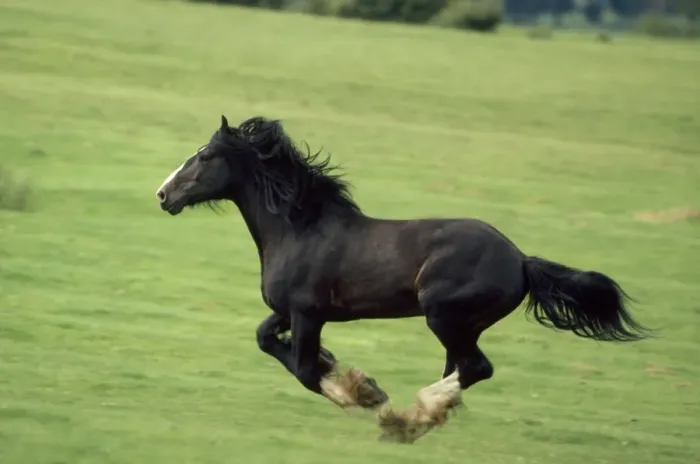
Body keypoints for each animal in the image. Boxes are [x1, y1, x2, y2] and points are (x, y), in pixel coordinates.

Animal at [155, 115, 651, 444]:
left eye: (205, 155)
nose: (163, 195)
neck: (298, 230)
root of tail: (521, 260)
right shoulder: (288, 311)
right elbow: (266, 339)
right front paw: (351, 373)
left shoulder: (308, 313)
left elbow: (305, 368)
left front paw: (364, 393)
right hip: (461, 325)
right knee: (461, 370)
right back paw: (417, 418)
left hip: (443, 316)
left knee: (475, 368)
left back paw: (406, 416)